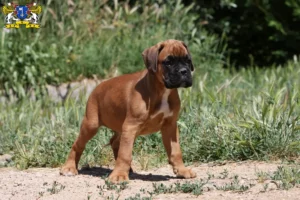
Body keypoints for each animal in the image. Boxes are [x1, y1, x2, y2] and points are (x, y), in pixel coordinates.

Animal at [61, 39, 197, 183]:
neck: (162, 90)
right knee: (78, 144)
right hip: (92, 125)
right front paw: (119, 175)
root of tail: (98, 87)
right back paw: (69, 167)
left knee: (115, 142)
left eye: (188, 60)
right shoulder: (131, 126)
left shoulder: (170, 126)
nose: (184, 71)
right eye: (168, 62)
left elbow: (176, 151)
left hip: (125, 128)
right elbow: (125, 153)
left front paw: (182, 170)